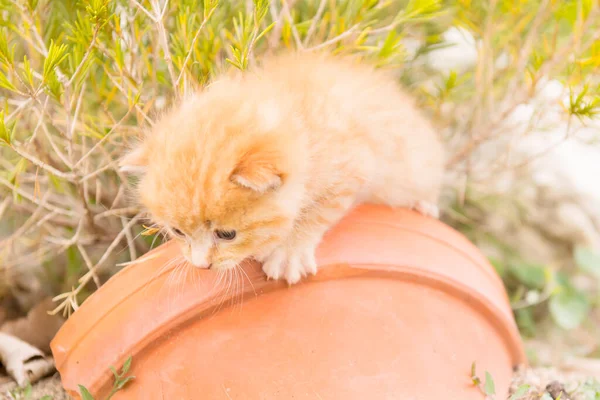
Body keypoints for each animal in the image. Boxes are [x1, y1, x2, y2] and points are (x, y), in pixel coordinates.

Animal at [119, 51, 442, 284]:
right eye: (177, 231)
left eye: (227, 235)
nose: (201, 266)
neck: (300, 122)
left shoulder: (355, 166)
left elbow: (316, 211)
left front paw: (289, 252)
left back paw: (424, 205)